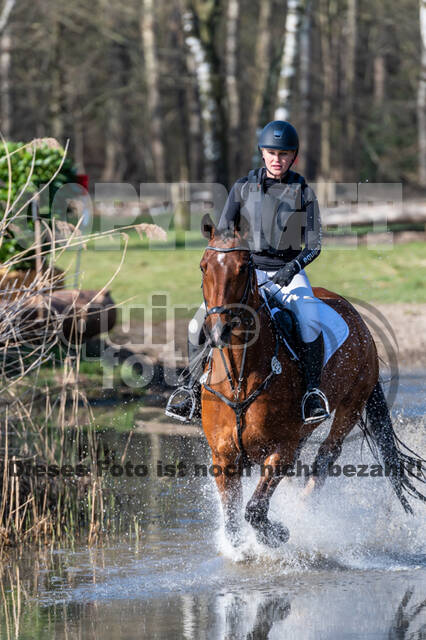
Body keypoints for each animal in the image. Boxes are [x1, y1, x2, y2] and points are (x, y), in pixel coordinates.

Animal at [201, 215, 426, 544]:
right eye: (204, 266)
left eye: (243, 267)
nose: (219, 331)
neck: (241, 377)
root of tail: (356, 316)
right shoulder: (223, 457)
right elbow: (232, 525)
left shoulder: (281, 449)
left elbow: (254, 510)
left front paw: (279, 533)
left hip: (351, 404)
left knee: (327, 455)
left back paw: (304, 509)